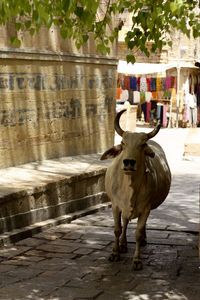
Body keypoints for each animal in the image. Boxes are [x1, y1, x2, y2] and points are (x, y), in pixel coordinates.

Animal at [101, 109, 171, 270]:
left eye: (142, 144)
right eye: (123, 143)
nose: (128, 162)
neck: (129, 188)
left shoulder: (146, 208)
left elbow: (138, 233)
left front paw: (137, 260)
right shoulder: (116, 206)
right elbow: (117, 229)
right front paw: (115, 253)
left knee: (140, 226)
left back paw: (142, 240)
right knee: (125, 222)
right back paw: (123, 244)